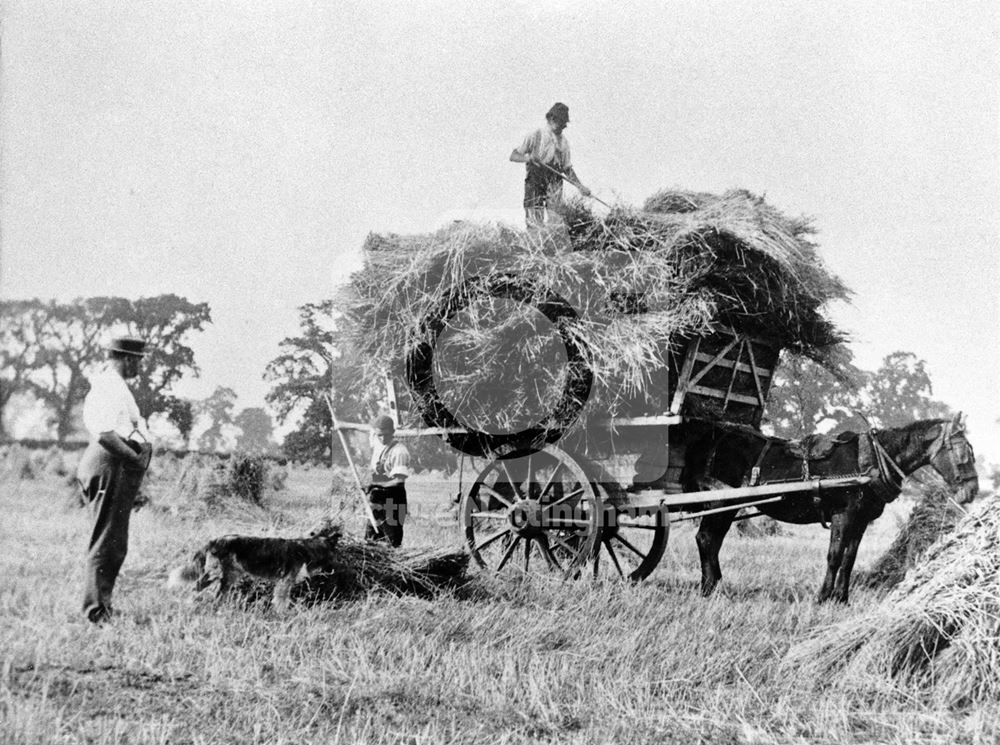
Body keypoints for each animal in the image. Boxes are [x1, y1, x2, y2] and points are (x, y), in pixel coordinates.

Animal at [168, 516, 344, 612]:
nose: (337, 566)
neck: (306, 549)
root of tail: (214, 541)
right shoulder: (284, 583)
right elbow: (282, 602)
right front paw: (283, 615)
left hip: (229, 577)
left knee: (218, 595)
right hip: (215, 574)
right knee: (195, 587)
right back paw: (189, 604)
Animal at [680, 412, 976, 604]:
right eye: (964, 451)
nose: (972, 491)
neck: (871, 460)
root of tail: (713, 438)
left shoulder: (860, 521)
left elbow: (849, 559)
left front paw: (841, 598)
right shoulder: (843, 516)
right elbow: (834, 556)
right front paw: (823, 596)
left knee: (711, 541)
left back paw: (714, 586)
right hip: (722, 502)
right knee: (706, 539)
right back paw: (711, 589)